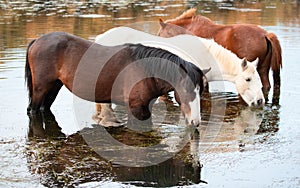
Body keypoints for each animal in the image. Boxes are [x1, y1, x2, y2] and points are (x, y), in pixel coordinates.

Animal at [25, 32, 207, 126]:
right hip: (41, 89)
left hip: (54, 86)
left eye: (200, 91)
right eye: (186, 90)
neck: (144, 69)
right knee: (33, 110)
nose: (196, 121)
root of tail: (37, 40)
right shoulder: (135, 108)